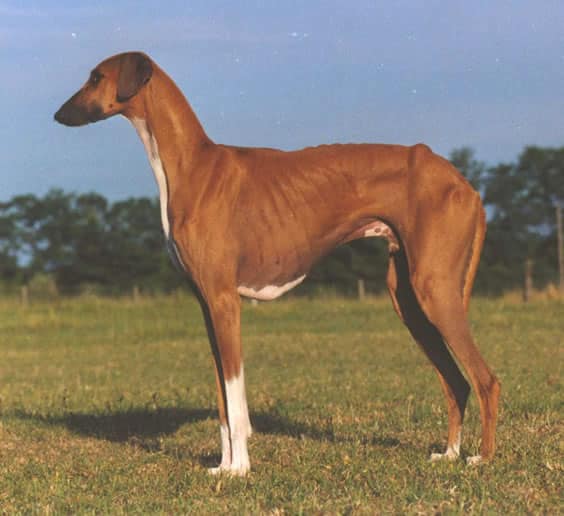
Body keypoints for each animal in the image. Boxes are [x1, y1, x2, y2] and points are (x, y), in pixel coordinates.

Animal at [55, 52, 500, 476]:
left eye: (96, 77)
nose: (58, 115)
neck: (192, 164)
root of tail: (464, 184)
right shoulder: (207, 307)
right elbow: (222, 401)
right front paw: (222, 466)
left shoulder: (225, 302)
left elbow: (235, 401)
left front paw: (240, 469)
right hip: (407, 298)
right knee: (456, 382)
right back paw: (449, 454)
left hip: (434, 290)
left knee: (485, 380)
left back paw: (482, 458)